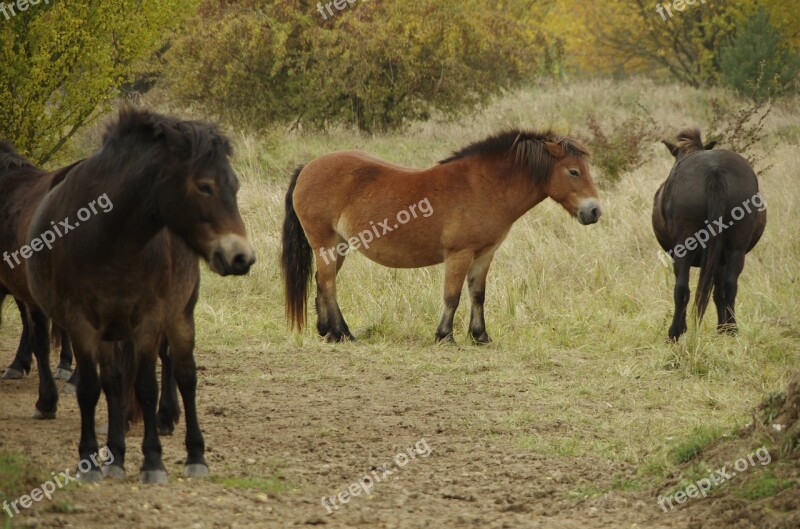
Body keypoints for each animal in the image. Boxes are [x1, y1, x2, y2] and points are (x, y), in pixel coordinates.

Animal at [25, 108, 256, 482]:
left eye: (234, 186)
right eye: (204, 186)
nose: (241, 256)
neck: (109, 239)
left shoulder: (150, 320)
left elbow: (147, 386)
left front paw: (152, 461)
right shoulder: (82, 324)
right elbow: (92, 389)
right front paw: (92, 458)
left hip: (180, 317)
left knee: (186, 375)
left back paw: (195, 455)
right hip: (110, 333)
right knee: (114, 383)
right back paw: (116, 456)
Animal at [282, 129, 600, 342]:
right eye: (573, 171)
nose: (594, 211)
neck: (484, 186)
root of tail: (308, 167)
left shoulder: (484, 255)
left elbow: (478, 295)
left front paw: (480, 336)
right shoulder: (459, 254)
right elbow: (452, 295)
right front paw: (445, 335)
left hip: (339, 245)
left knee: (322, 282)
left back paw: (326, 331)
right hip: (325, 242)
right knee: (328, 283)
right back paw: (342, 332)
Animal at [652, 130, 764, 340]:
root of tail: (715, 170)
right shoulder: (721, 258)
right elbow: (719, 291)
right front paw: (722, 328)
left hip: (685, 247)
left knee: (682, 288)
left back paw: (675, 332)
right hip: (735, 249)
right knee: (730, 287)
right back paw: (731, 330)